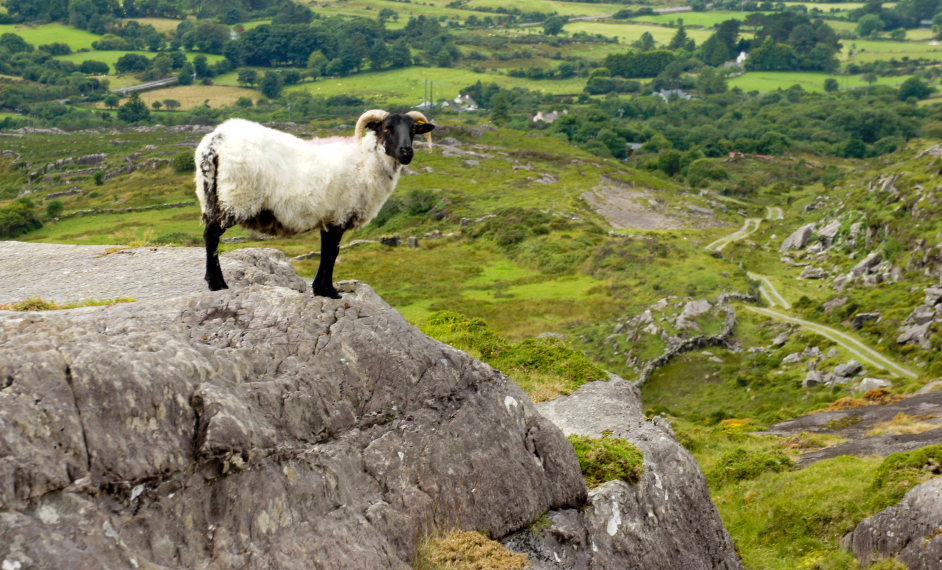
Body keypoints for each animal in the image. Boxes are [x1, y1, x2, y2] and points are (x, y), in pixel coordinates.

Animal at [198, 108, 438, 300]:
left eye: (413, 131)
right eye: (387, 129)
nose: (406, 152)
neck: (368, 163)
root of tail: (216, 141)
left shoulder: (328, 218)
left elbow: (325, 252)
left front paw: (319, 289)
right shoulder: (340, 215)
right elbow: (332, 253)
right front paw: (330, 292)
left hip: (210, 197)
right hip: (235, 197)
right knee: (212, 235)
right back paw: (217, 283)